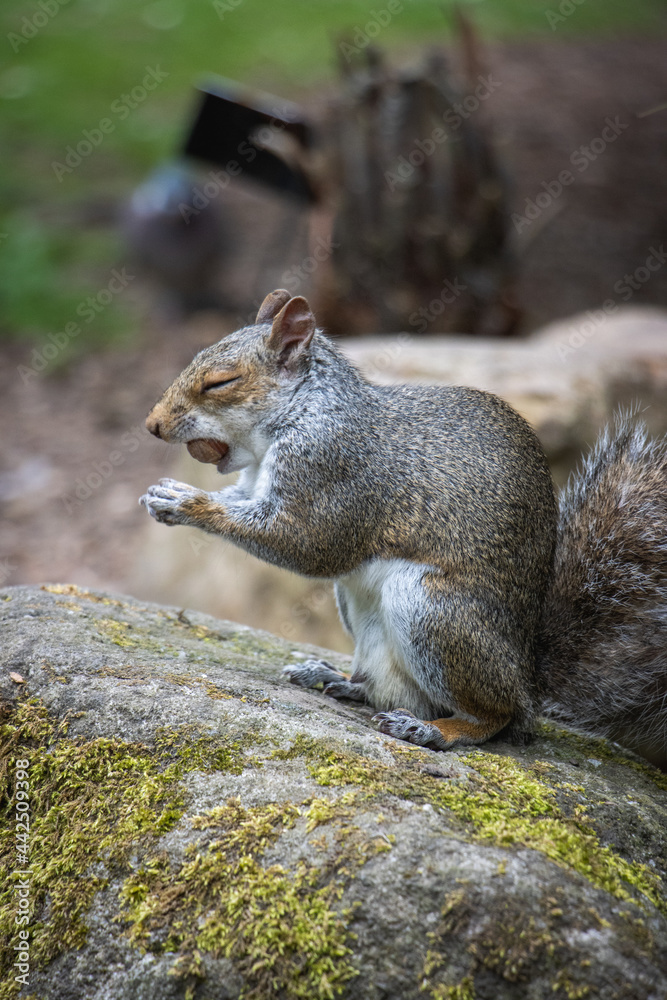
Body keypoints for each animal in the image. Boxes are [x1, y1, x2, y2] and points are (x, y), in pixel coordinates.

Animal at [140, 289, 667, 767]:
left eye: (221, 382)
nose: (152, 426)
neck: (302, 413)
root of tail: (527, 677)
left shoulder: (334, 471)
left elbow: (306, 543)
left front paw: (186, 502)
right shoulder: (254, 485)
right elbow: (242, 503)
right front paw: (161, 494)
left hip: (433, 611)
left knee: (494, 717)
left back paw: (436, 730)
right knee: (391, 691)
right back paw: (336, 679)